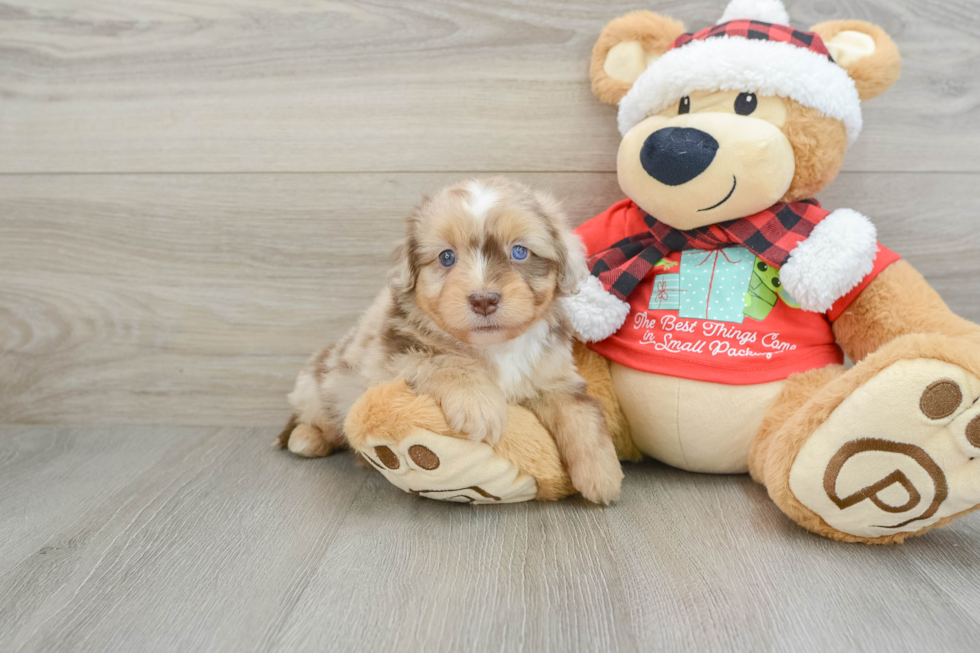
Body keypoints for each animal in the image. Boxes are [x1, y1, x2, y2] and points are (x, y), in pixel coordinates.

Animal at [278, 176, 620, 502]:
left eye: (519, 252)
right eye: (446, 257)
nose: (484, 300)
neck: (495, 347)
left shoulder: (553, 374)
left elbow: (581, 411)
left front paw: (602, 475)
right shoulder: (394, 356)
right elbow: (445, 359)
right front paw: (480, 404)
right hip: (319, 385)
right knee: (313, 417)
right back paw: (306, 439)